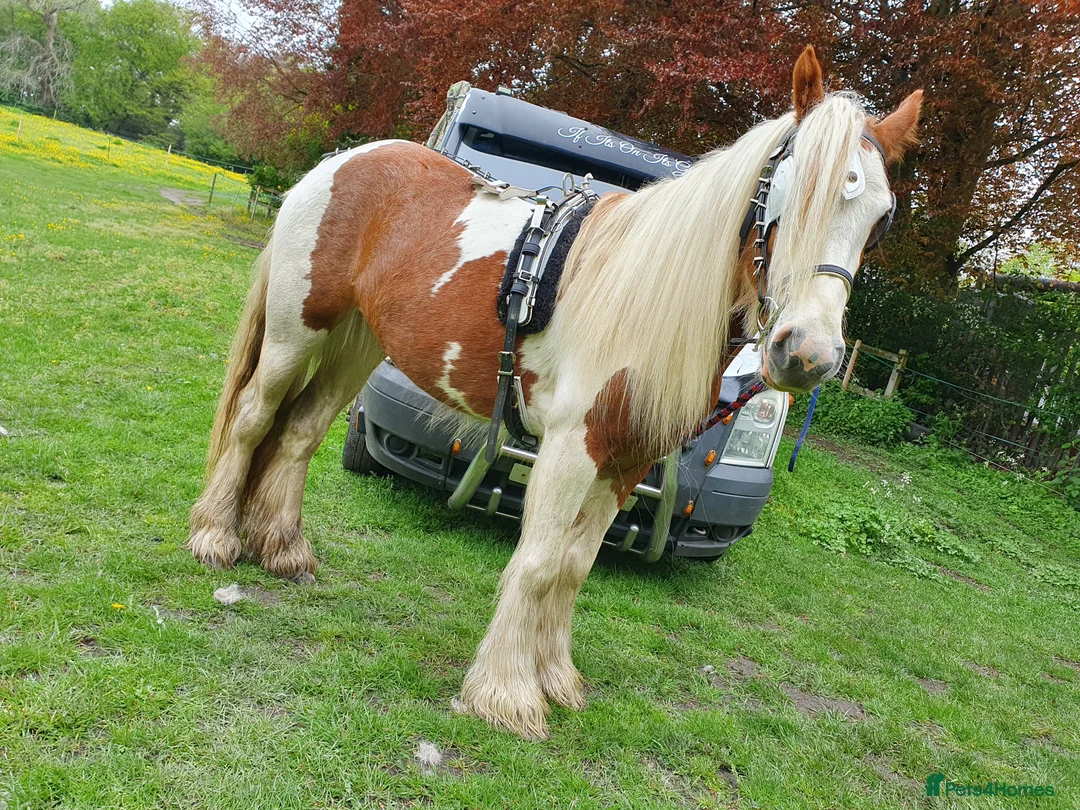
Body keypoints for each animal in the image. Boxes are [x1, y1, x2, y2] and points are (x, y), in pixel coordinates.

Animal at [187, 45, 922, 740]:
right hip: (295, 332)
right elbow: (539, 563)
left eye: (882, 219)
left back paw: (283, 550)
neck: (643, 291)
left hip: (358, 344)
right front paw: (506, 695)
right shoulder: (572, 448)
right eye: (788, 192)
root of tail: (343, 161)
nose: (808, 354)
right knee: (253, 418)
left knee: (300, 432)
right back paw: (216, 535)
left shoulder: (625, 460)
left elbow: (573, 567)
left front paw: (556, 678)